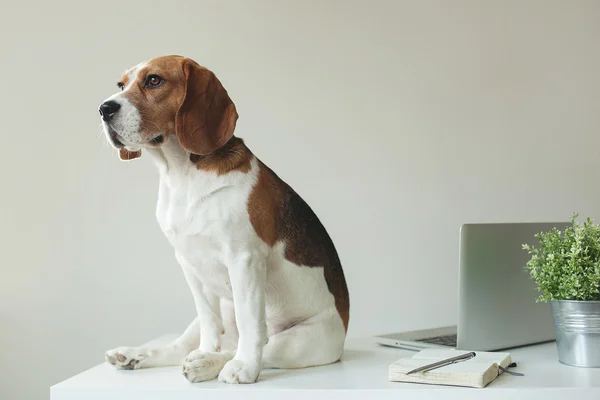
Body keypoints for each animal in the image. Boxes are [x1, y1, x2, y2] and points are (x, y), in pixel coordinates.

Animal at [99, 56, 350, 384]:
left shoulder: (244, 259)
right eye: (121, 85)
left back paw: (216, 363)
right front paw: (205, 351)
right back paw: (139, 354)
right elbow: (208, 322)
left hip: (300, 340)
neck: (181, 175)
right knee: (183, 345)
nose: (103, 109)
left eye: (154, 80)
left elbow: (249, 322)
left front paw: (241, 366)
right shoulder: (189, 264)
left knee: (258, 343)